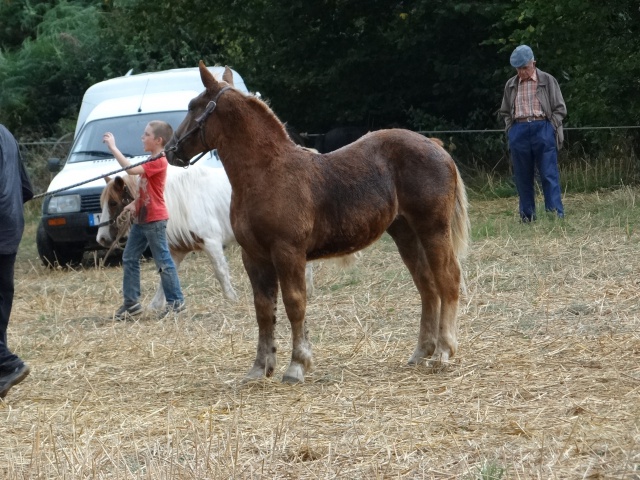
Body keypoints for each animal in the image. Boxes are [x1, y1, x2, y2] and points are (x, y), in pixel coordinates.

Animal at [166, 62, 470, 384]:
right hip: (405, 233)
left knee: (448, 279)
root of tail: (435, 145)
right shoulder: (254, 257)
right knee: (427, 286)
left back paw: (443, 352)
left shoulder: (288, 253)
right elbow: (264, 310)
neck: (266, 173)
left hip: (433, 229)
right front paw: (260, 367)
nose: (171, 150)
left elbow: (294, 304)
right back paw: (422, 351)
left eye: (193, 106)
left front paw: (297, 365)